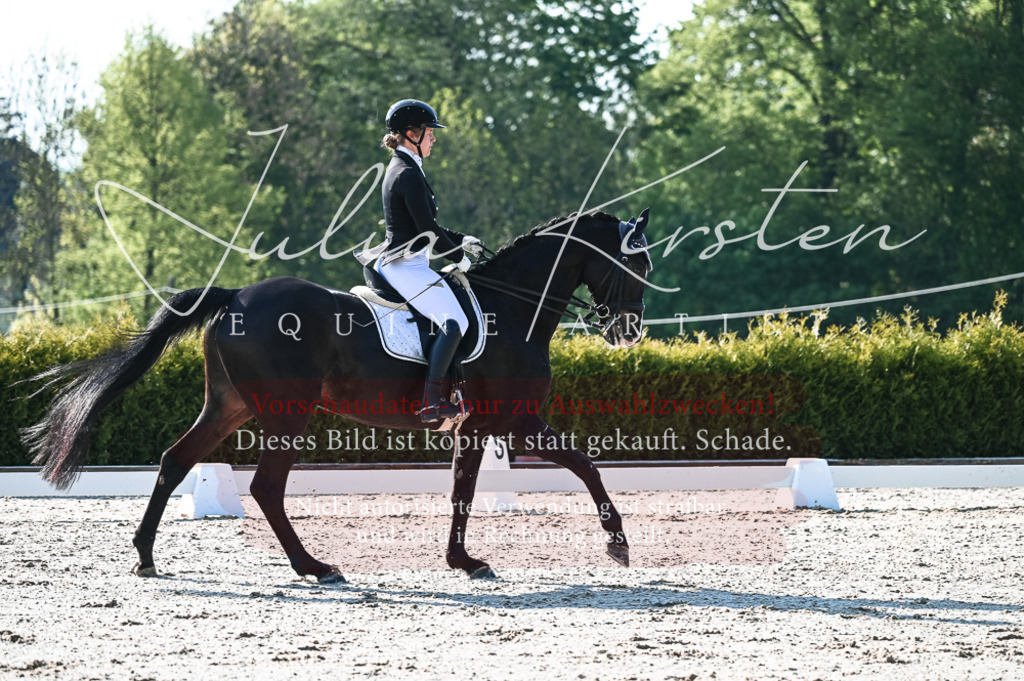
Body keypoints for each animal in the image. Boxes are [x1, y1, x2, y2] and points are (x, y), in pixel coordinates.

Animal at [22, 209, 653, 583]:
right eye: (637, 263)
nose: (629, 331)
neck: (513, 307)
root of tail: (236, 297)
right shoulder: (516, 421)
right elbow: (586, 464)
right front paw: (618, 543)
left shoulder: (476, 428)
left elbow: (462, 492)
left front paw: (462, 561)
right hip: (286, 413)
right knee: (264, 487)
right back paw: (314, 566)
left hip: (231, 405)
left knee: (176, 459)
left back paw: (146, 558)